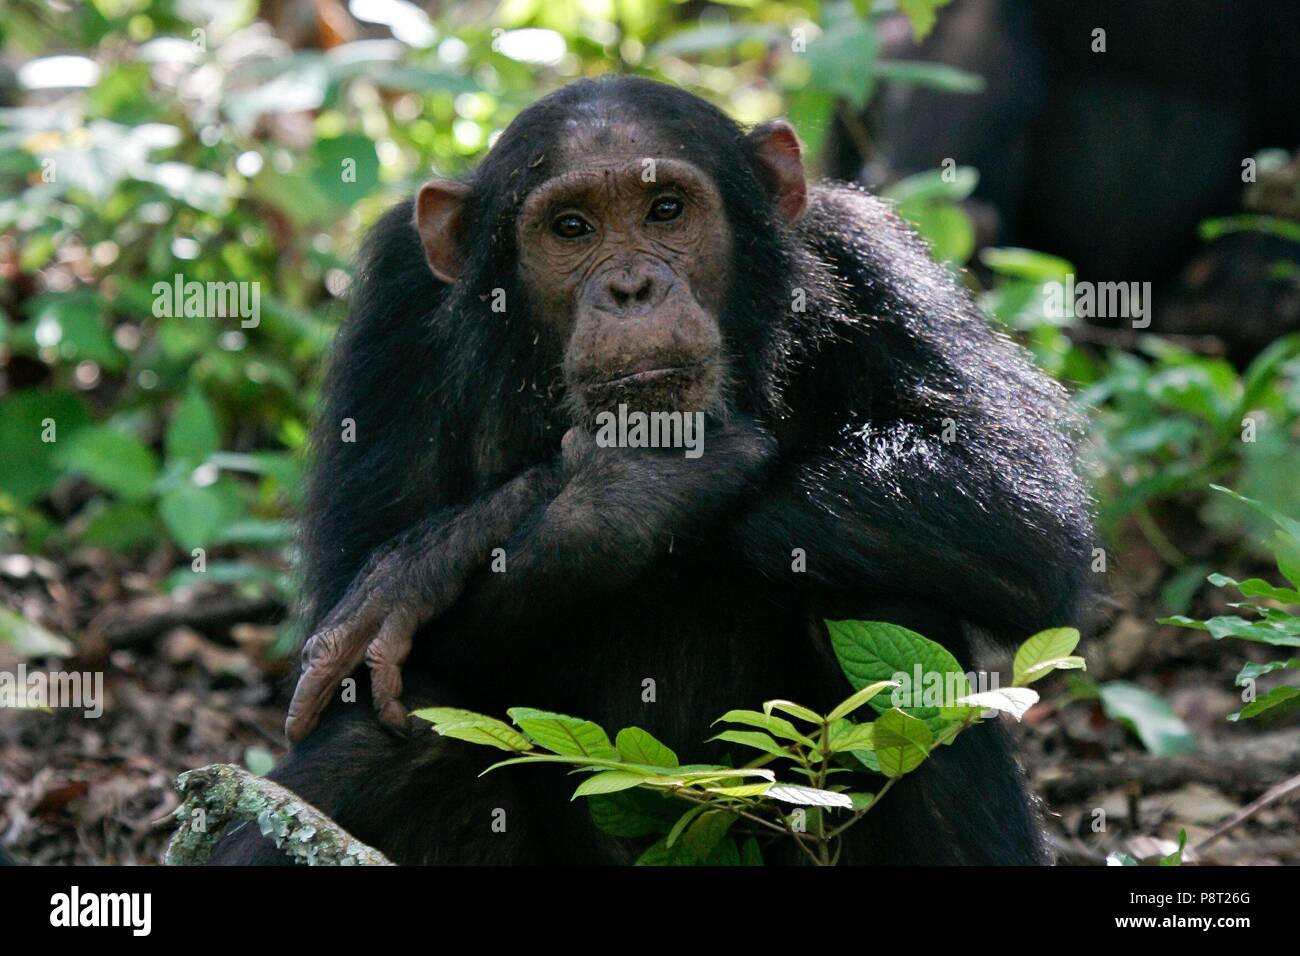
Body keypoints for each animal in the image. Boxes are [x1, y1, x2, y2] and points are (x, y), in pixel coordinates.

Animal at [213, 76, 1097, 868]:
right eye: (571, 228)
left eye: (666, 210)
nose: (632, 286)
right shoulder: (396, 310)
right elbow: (350, 630)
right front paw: (625, 489)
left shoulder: (870, 255)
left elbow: (1015, 504)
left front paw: (431, 557)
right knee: (394, 738)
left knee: (891, 607)